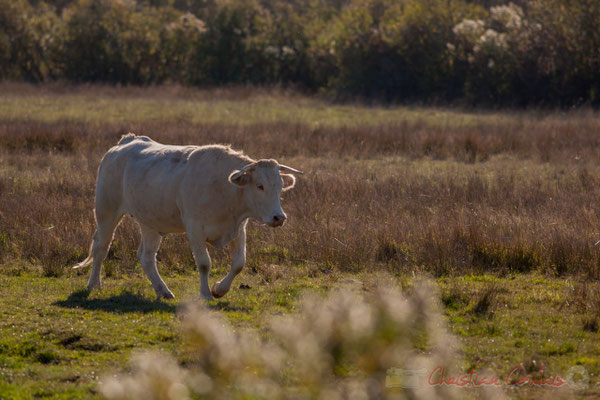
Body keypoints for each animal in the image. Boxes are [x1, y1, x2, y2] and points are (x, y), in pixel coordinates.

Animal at [73, 134, 302, 300]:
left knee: (146, 256)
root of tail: (125, 142)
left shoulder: (238, 228)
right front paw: (206, 294)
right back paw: (94, 284)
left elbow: (239, 263)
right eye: (260, 186)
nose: (279, 217)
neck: (224, 188)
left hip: (149, 223)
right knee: (101, 247)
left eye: (280, 186)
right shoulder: (195, 228)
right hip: (106, 212)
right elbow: (204, 263)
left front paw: (219, 289)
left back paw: (163, 290)